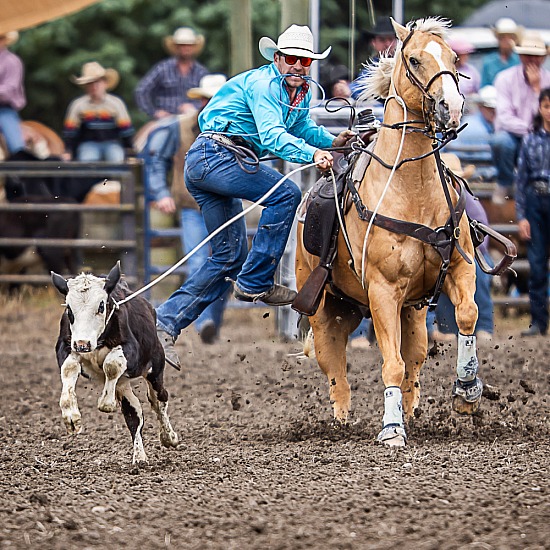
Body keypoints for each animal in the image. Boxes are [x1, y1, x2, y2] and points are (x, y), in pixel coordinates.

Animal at [52, 264, 179, 466]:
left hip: (155, 368)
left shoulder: (131, 352)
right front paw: (71, 417)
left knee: (159, 400)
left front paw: (107, 403)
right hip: (123, 384)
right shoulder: (66, 346)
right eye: (69, 309)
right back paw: (140, 456)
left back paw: (169, 437)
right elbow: (69, 369)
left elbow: (111, 364)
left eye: (101, 305)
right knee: (134, 414)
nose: (82, 344)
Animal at [298, 18, 484, 448]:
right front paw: (391, 429)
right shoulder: (382, 291)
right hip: (323, 310)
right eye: (414, 59)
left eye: (454, 58)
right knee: (335, 365)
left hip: (411, 313)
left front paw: (467, 391)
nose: (452, 107)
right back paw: (341, 421)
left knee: (414, 356)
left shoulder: (460, 269)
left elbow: (467, 314)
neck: (412, 189)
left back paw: (413, 411)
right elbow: (390, 365)